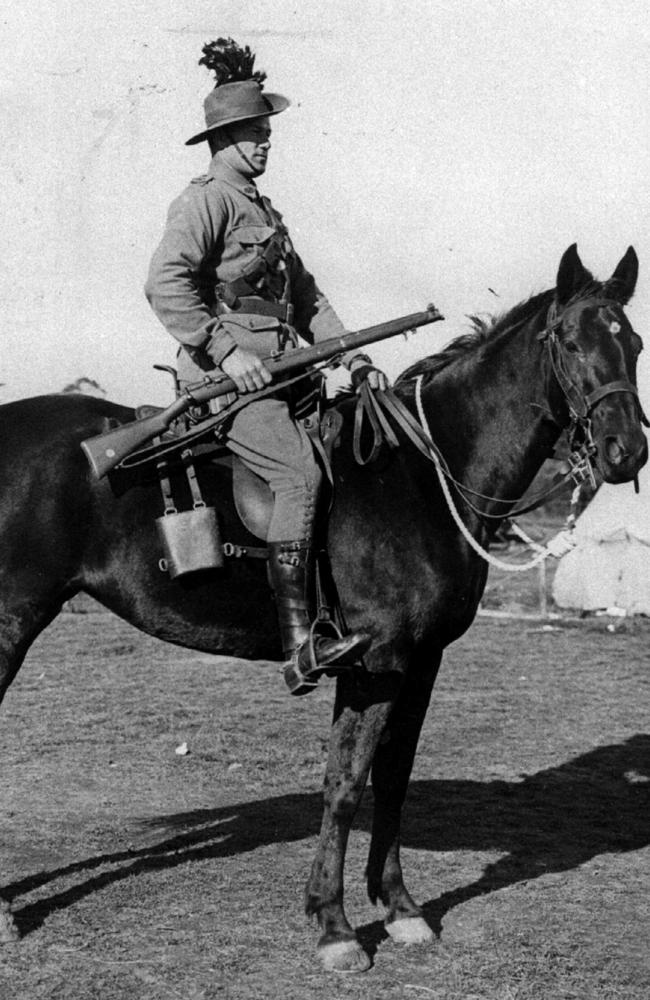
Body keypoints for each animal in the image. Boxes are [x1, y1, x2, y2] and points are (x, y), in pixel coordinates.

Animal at [0, 246, 644, 972]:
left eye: (635, 344)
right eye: (572, 343)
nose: (627, 451)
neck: (425, 473)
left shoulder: (420, 663)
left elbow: (391, 778)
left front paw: (399, 908)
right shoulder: (377, 663)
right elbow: (345, 784)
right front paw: (334, 927)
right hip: (10, 621)